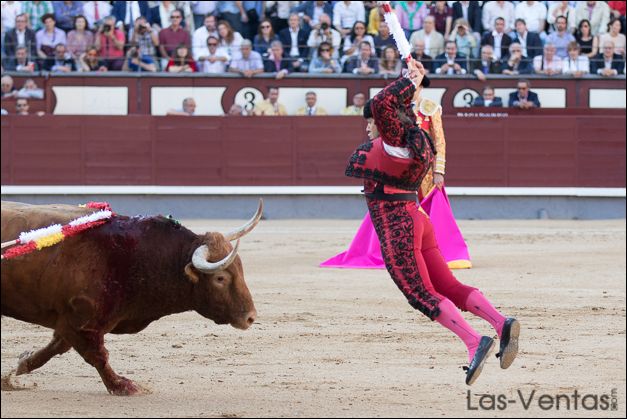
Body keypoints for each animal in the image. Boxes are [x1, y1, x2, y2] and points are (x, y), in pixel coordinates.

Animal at [0, 201, 262, 398]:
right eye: (220, 278)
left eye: (240, 268)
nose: (250, 317)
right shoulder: (83, 323)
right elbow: (98, 356)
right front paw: (124, 386)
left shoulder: (72, 322)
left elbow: (56, 346)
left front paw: (22, 365)